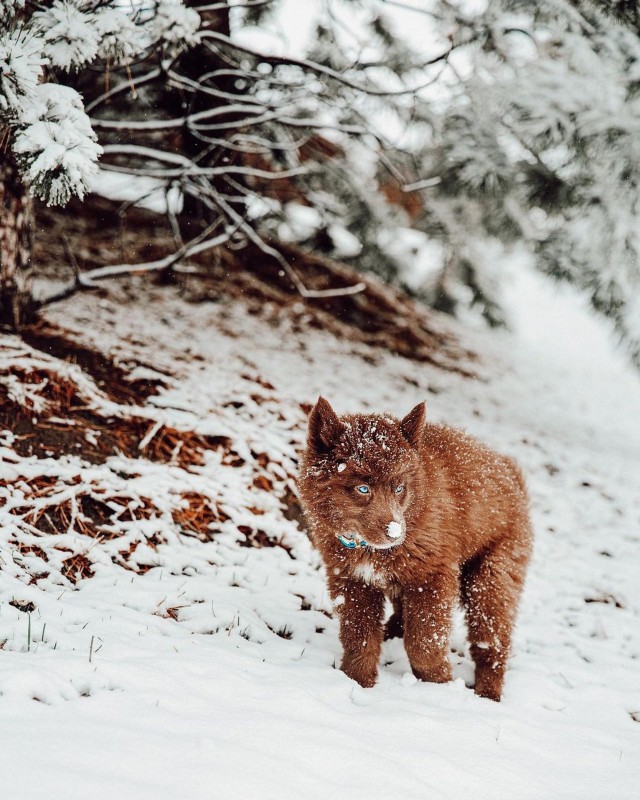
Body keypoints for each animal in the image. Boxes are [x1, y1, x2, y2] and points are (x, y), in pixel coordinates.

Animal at [298, 400, 532, 700]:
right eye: (363, 488)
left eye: (399, 488)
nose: (395, 533)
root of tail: (510, 472)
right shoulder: (351, 578)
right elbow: (359, 636)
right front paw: (358, 682)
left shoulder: (433, 576)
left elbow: (424, 642)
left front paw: (439, 685)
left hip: (493, 576)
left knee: (492, 640)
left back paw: (487, 694)